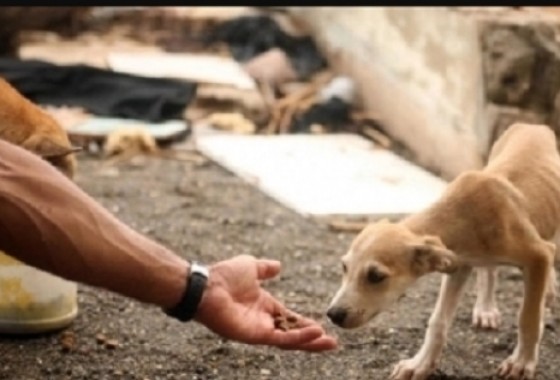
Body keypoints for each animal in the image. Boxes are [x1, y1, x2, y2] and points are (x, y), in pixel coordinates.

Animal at [326, 123, 560, 378]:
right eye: (344, 267)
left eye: (376, 276)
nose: (333, 314)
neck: (464, 214)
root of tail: (532, 124)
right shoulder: (460, 264)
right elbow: (438, 321)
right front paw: (420, 364)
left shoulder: (538, 255)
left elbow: (528, 317)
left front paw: (522, 362)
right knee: (489, 270)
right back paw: (487, 309)